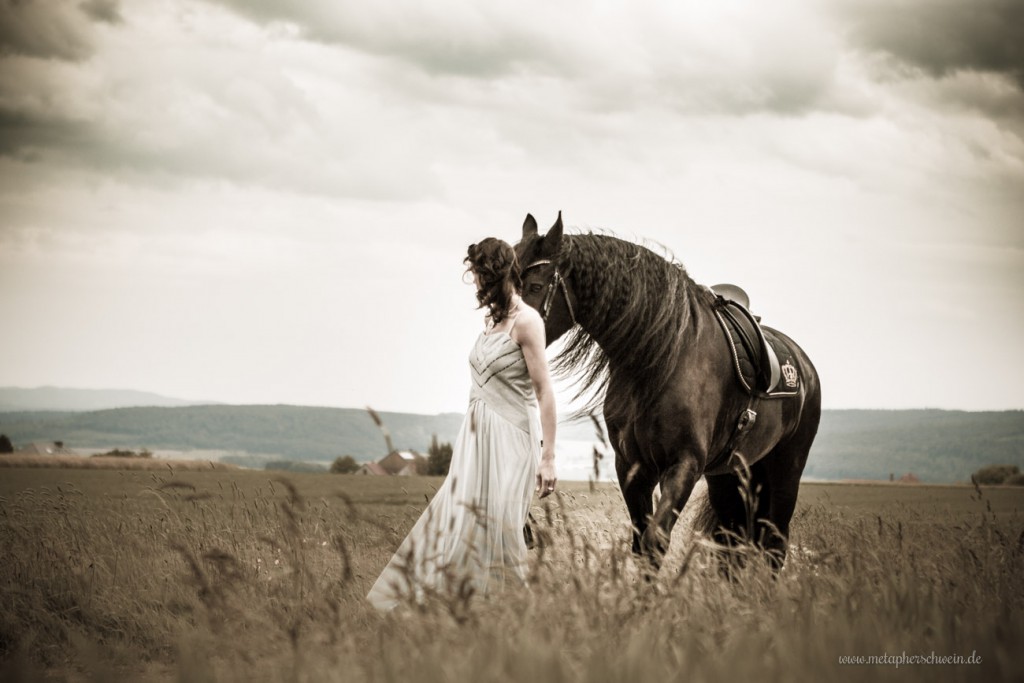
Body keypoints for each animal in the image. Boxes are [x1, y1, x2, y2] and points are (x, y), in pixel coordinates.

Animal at [516, 211, 819, 573]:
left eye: (535, 287)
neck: (659, 360)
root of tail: (802, 364)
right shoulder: (632, 468)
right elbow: (641, 544)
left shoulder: (683, 465)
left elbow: (655, 541)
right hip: (728, 477)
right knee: (732, 543)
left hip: (786, 470)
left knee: (774, 543)